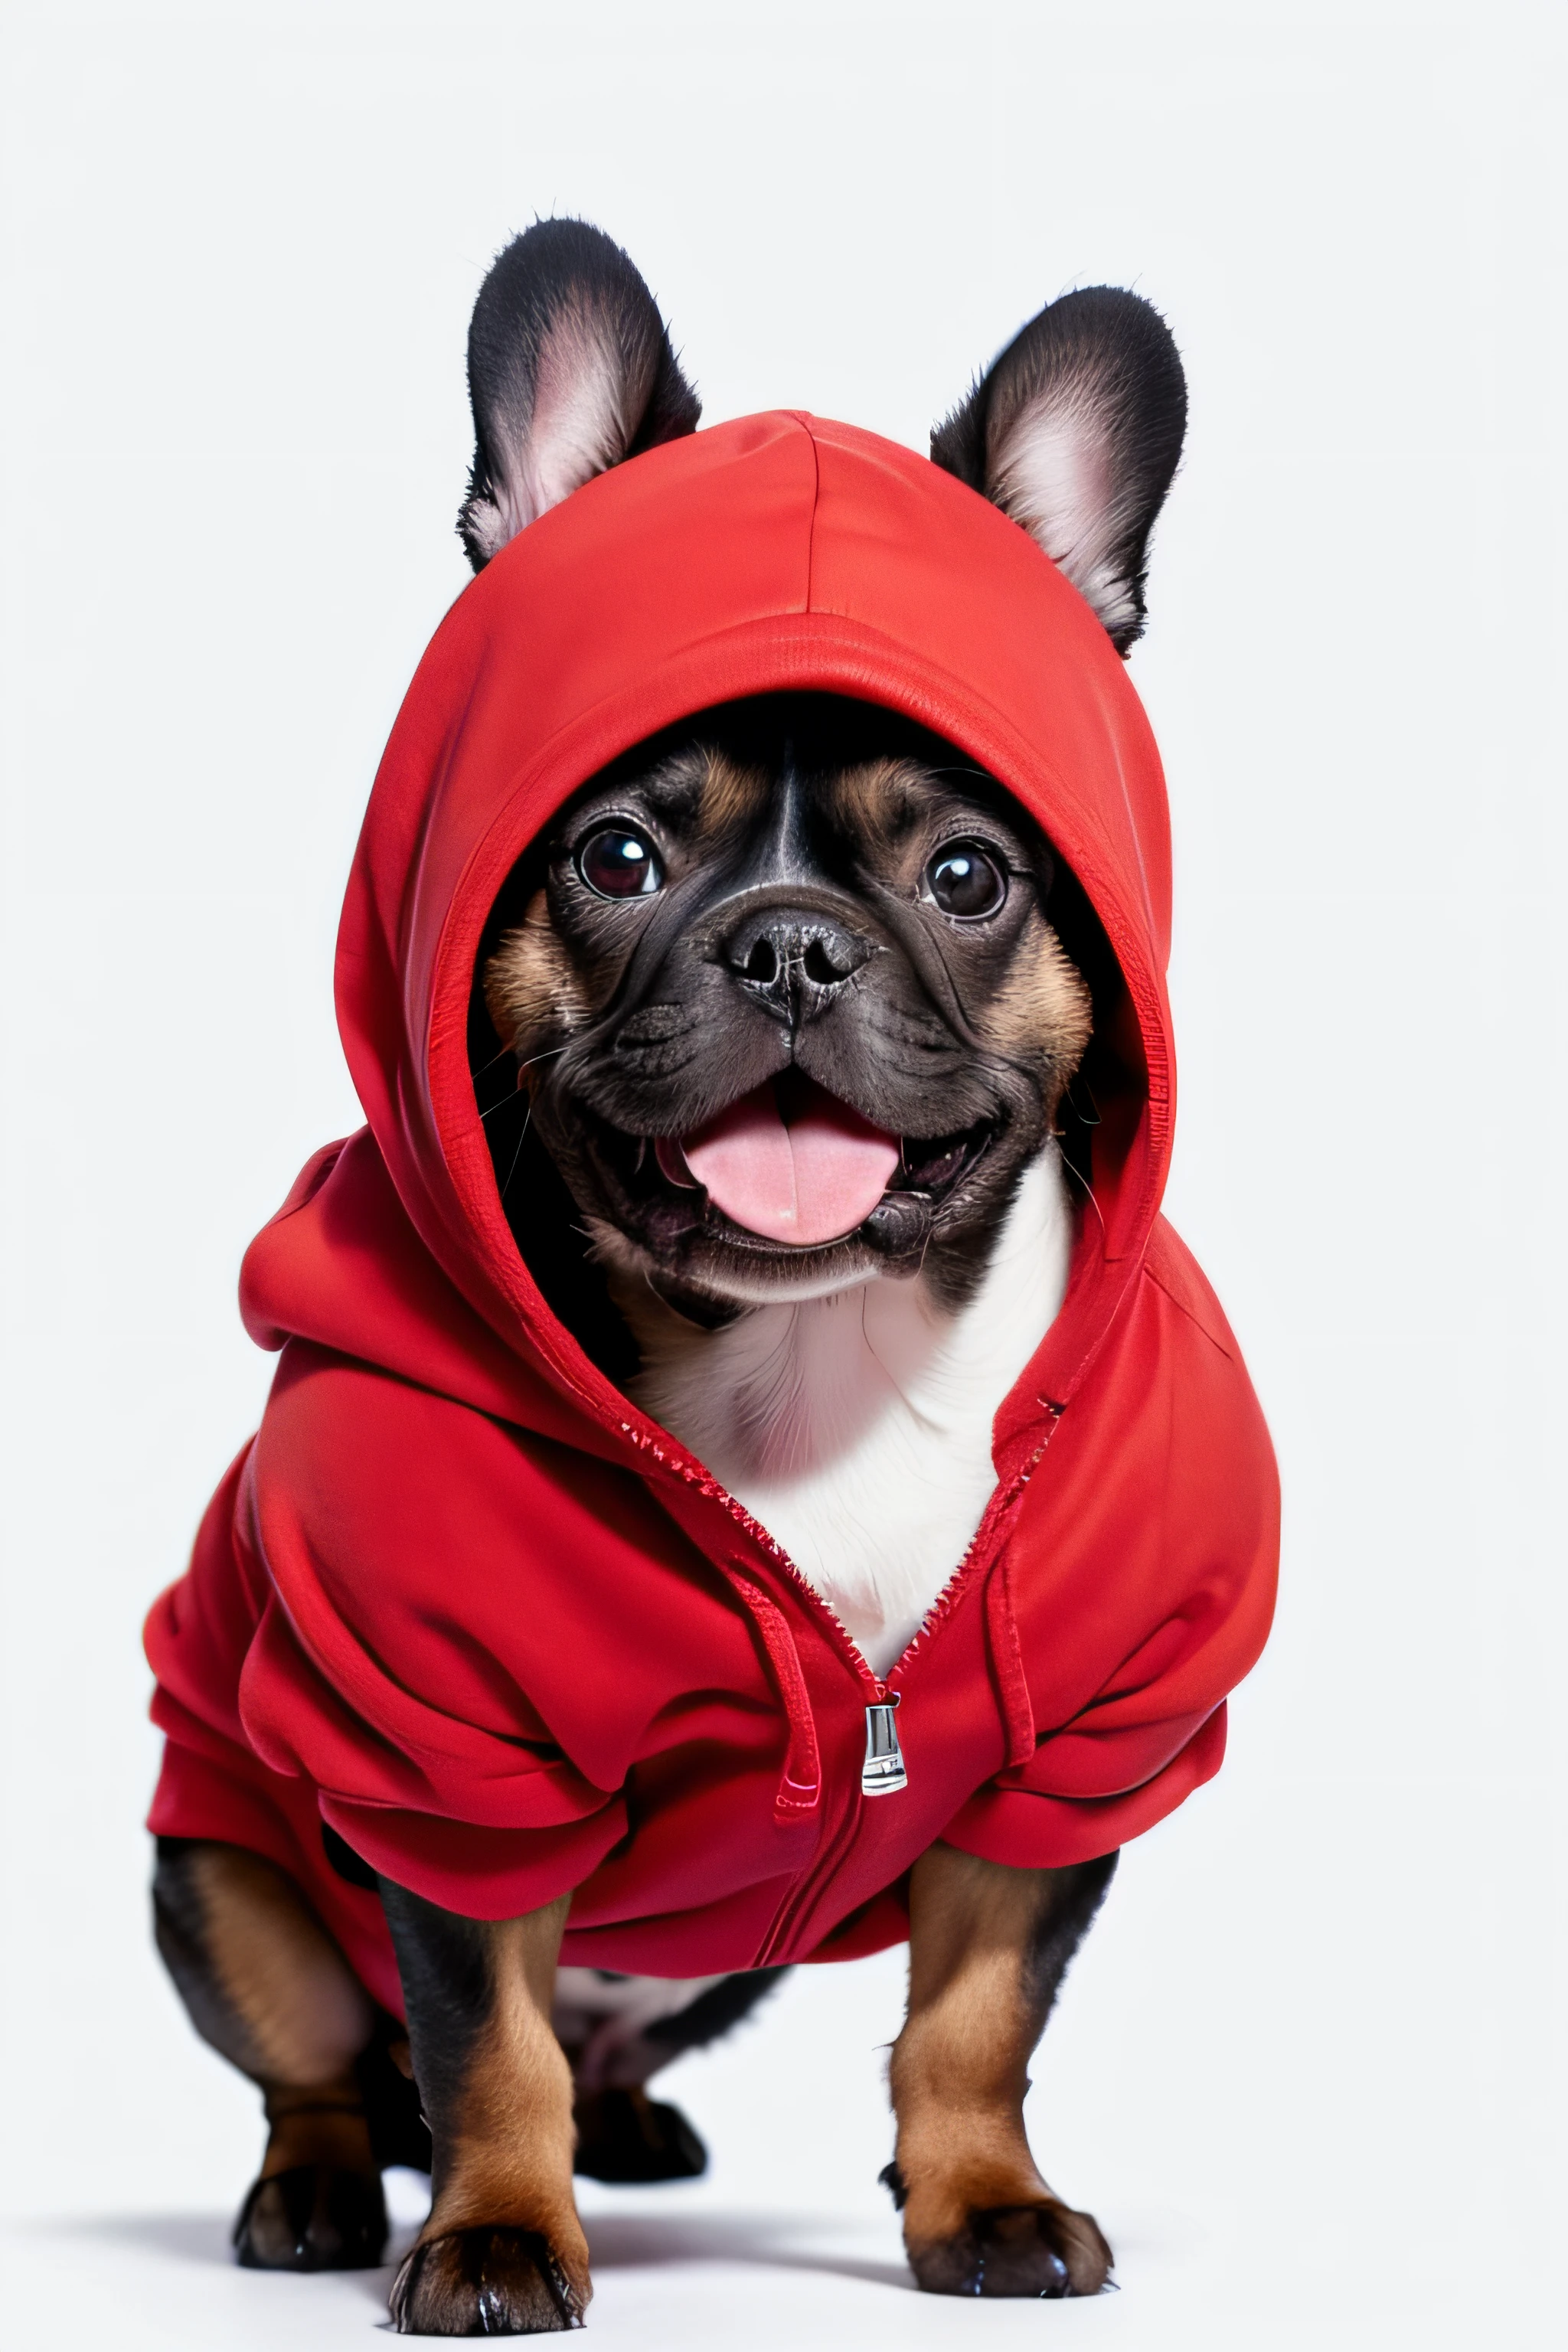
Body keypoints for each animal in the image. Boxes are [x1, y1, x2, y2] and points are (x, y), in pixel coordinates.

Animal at [144, 224, 1279, 2333]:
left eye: (968, 873)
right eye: (614, 852)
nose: (789, 942)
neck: (810, 1354)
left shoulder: (1075, 1768)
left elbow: (975, 2019)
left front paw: (981, 2200)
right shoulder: (446, 1761)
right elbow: (482, 2030)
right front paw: (496, 2236)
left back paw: (640, 2128)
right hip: (224, 1871)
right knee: (329, 2061)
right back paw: (334, 2192)